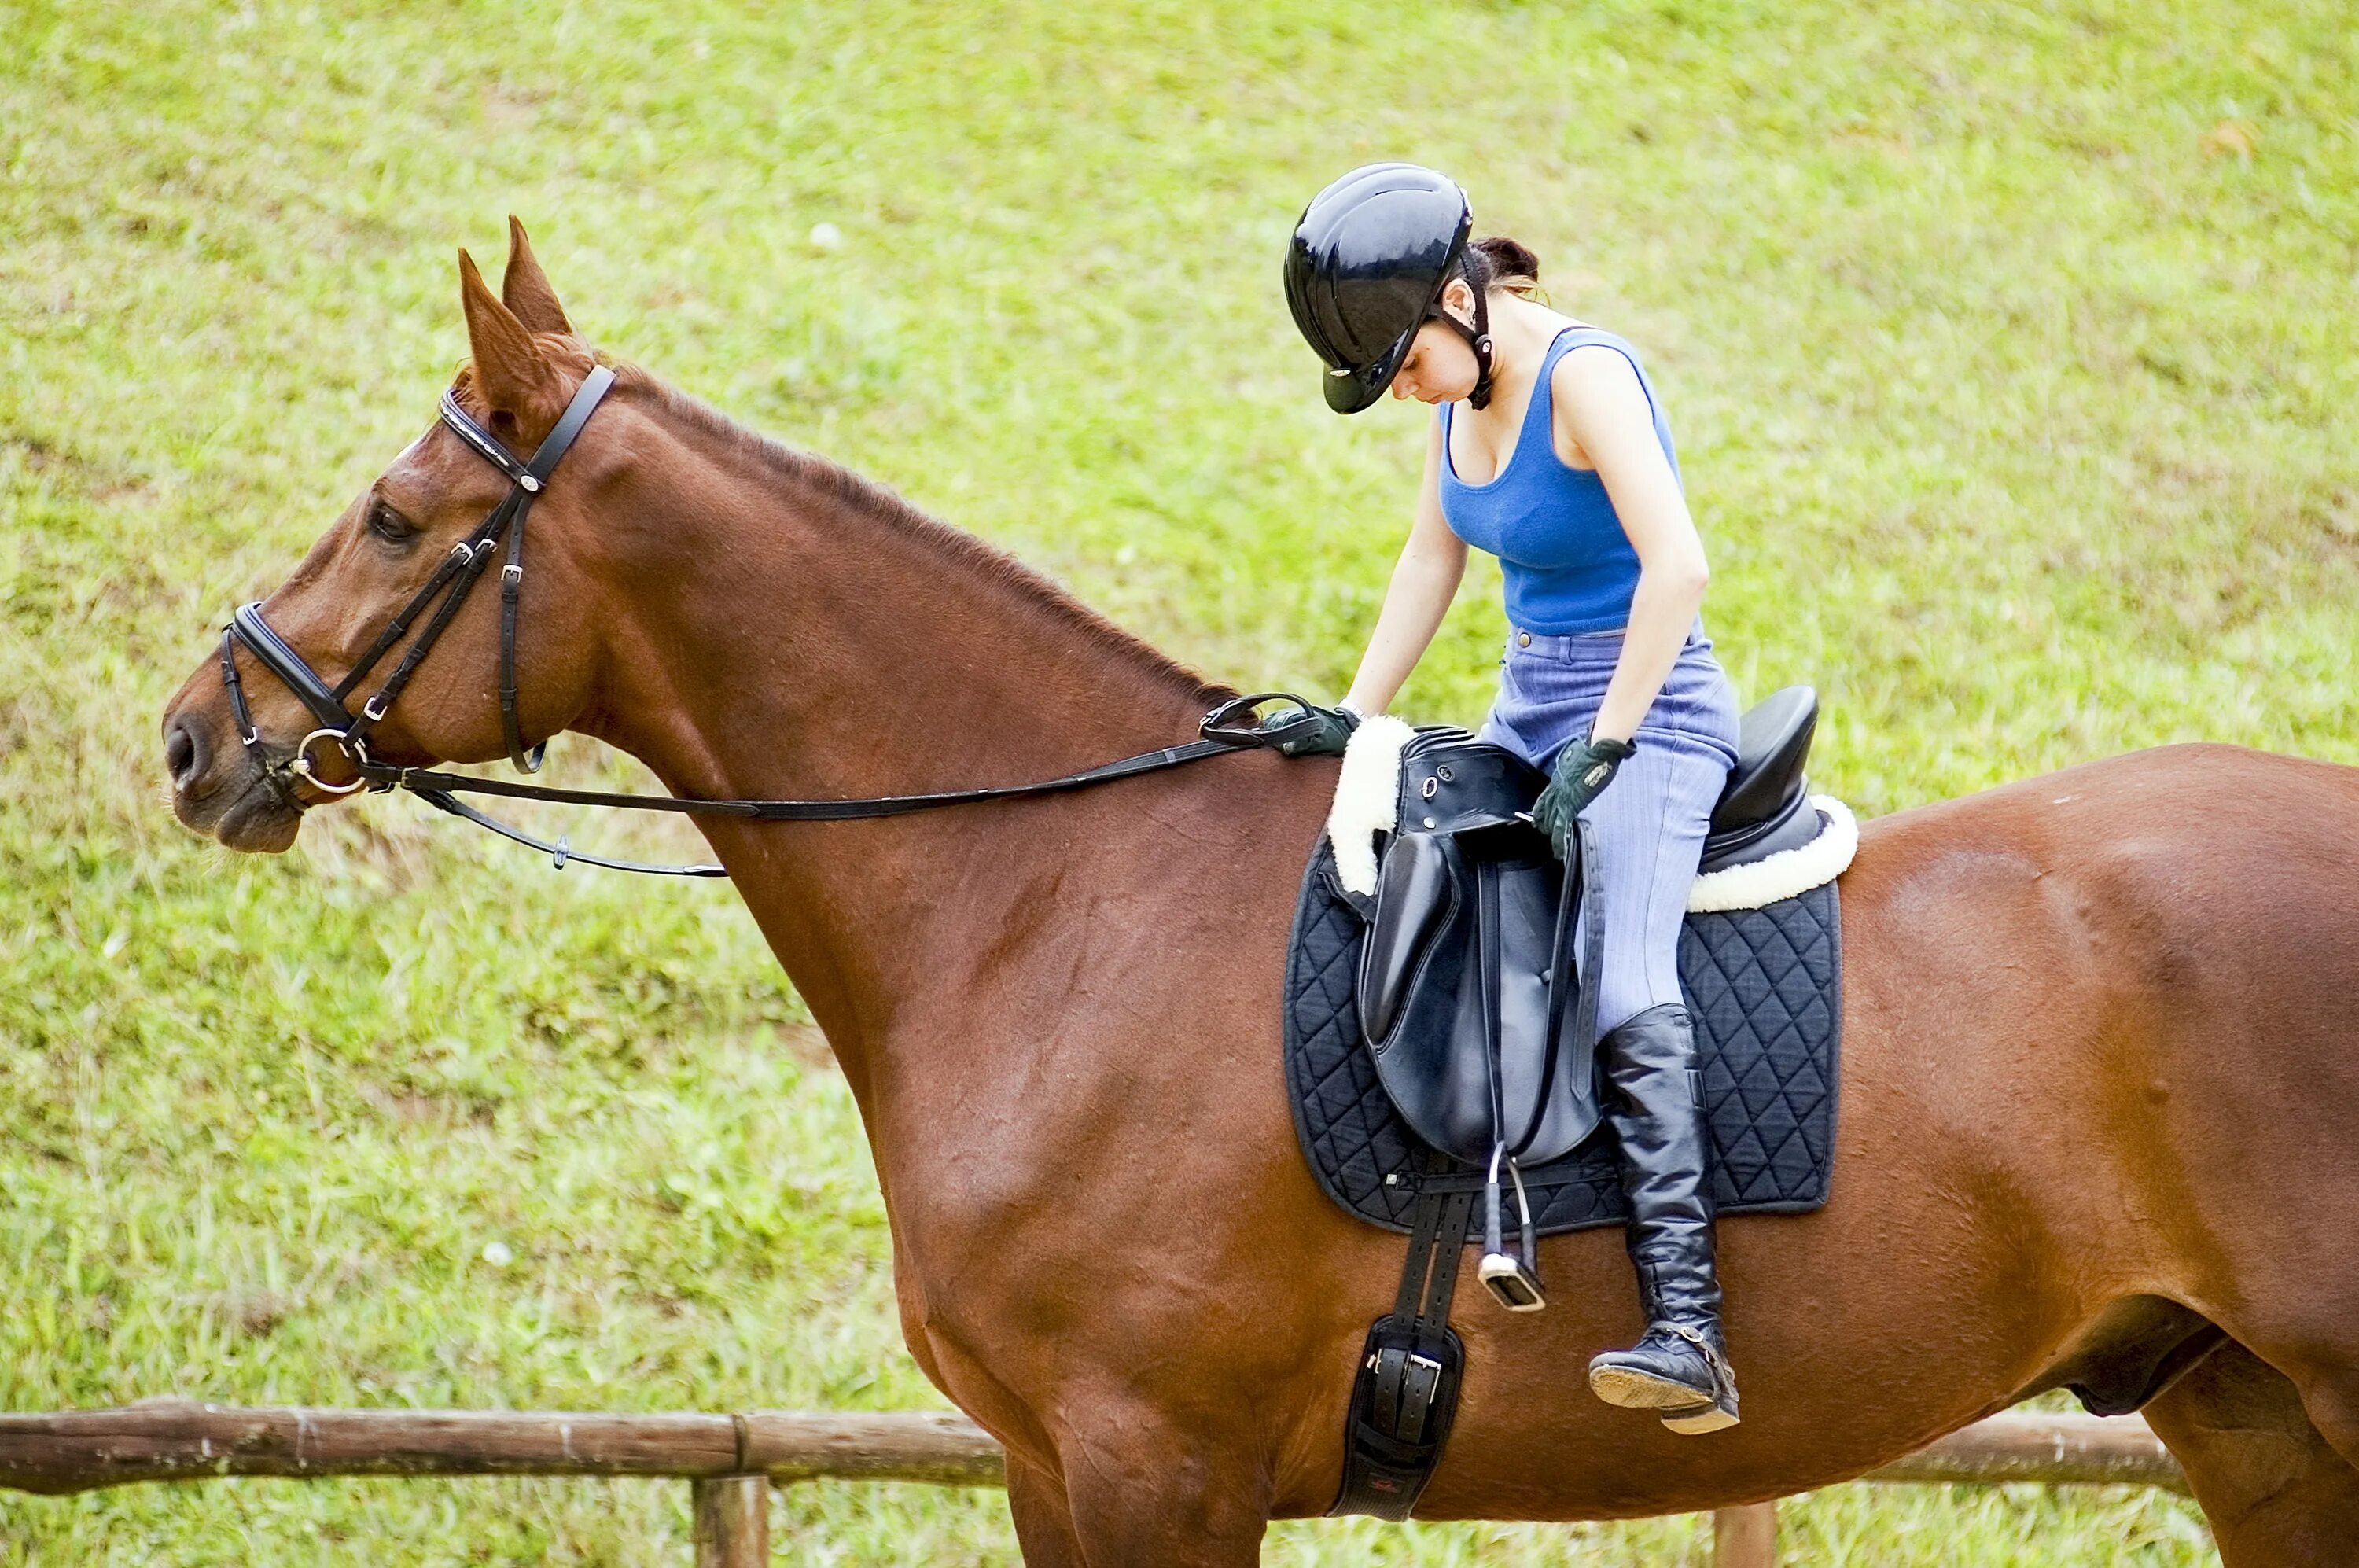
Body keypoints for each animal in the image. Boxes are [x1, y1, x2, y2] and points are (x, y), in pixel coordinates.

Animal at [171, 223, 2359, 1566]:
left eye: (397, 519)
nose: (200, 736)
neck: (1051, 893)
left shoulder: (1161, 1461)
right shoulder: (1055, 1470)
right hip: (2249, 1414)